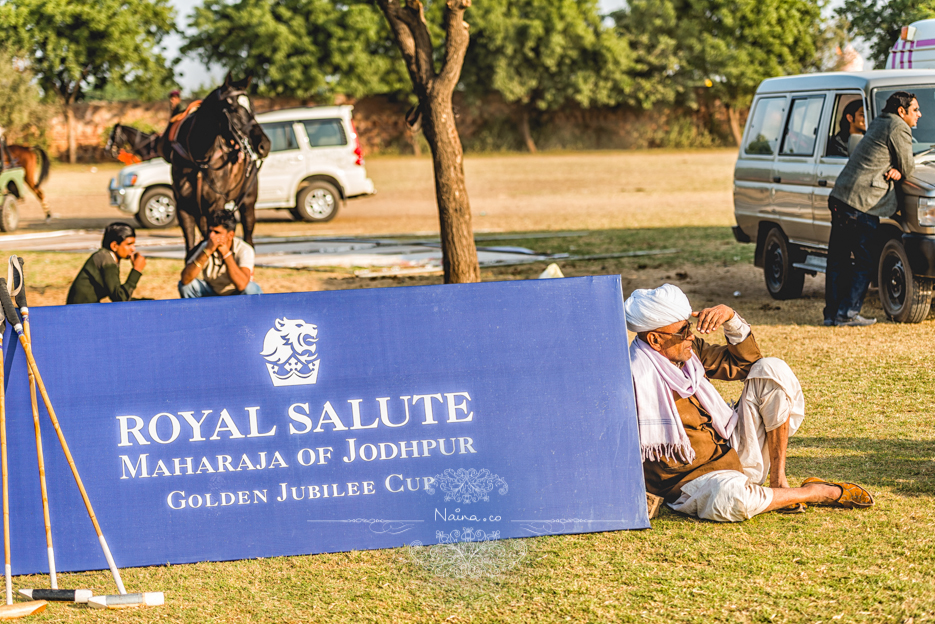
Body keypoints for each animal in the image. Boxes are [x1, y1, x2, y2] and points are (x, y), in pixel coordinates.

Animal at [158, 75, 270, 254]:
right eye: (232, 108)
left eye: (252, 107)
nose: (264, 145)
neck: (198, 160)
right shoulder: (184, 208)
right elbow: (192, 247)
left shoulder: (215, 206)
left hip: (247, 202)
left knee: (248, 236)